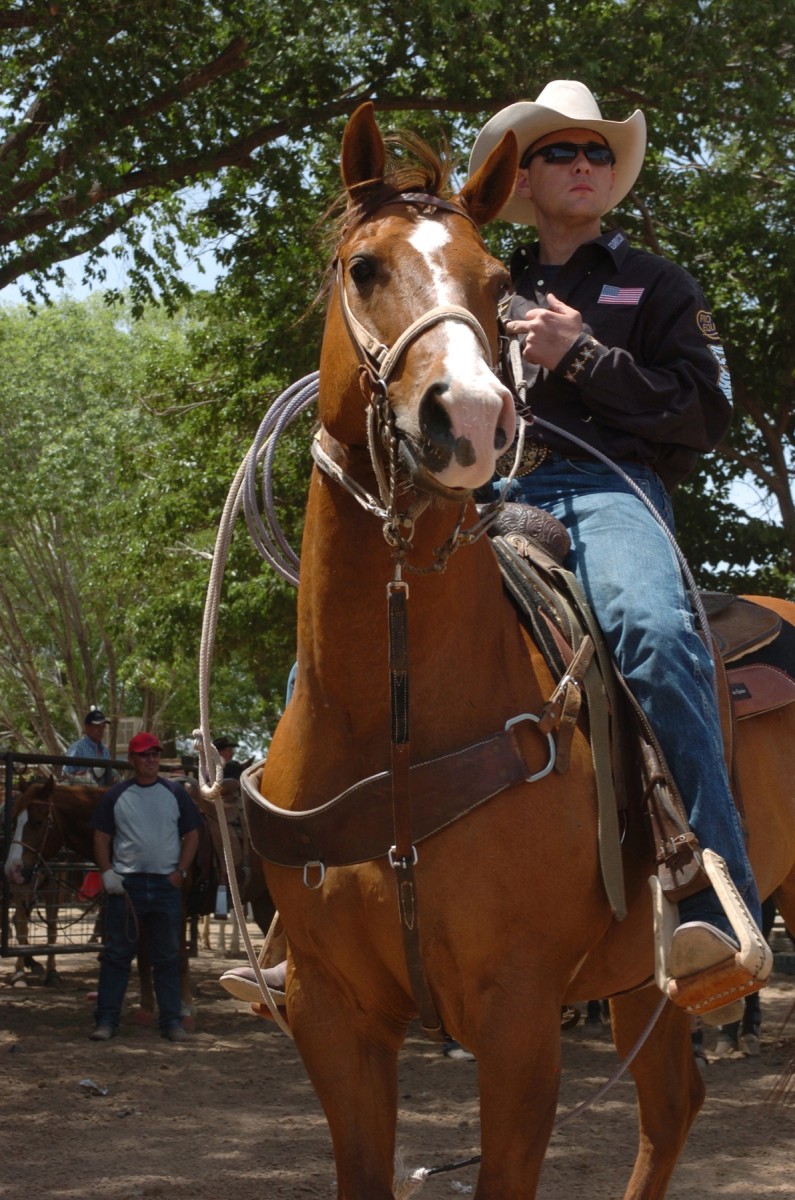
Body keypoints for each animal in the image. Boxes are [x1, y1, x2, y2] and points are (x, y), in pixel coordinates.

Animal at [250, 105, 795, 1200]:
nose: (465, 415)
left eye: (499, 284)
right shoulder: (333, 1016)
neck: (395, 724)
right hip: (643, 981)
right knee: (672, 1105)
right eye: (363, 266)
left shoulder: (517, 1019)